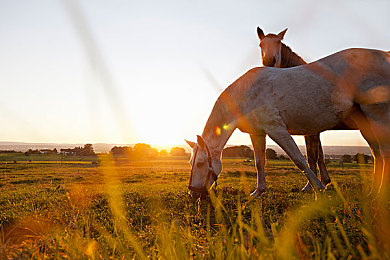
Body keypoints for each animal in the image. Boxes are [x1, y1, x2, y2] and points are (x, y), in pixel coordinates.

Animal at [187, 47, 390, 198]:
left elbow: (299, 159)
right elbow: (259, 162)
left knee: (384, 154)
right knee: (377, 155)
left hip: (377, 116)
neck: (247, 93)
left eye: (200, 163)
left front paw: (318, 187)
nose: (193, 194)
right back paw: (373, 192)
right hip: (366, 123)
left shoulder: (277, 129)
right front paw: (258, 192)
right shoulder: (257, 133)